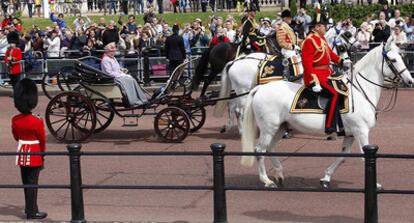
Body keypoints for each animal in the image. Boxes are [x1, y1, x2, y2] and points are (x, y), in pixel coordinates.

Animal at [213, 30, 360, 134]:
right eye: (342, 47)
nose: (347, 64)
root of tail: (235, 61)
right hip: (242, 92)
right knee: (238, 110)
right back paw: (242, 130)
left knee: (233, 107)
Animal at [241, 40, 412, 188]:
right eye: (393, 60)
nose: (410, 81)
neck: (360, 91)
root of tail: (261, 88)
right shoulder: (361, 131)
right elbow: (364, 157)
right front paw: (375, 184)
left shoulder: (351, 134)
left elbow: (343, 157)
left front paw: (326, 177)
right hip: (269, 128)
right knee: (259, 150)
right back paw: (266, 180)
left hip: (281, 127)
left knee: (269, 148)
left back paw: (279, 174)